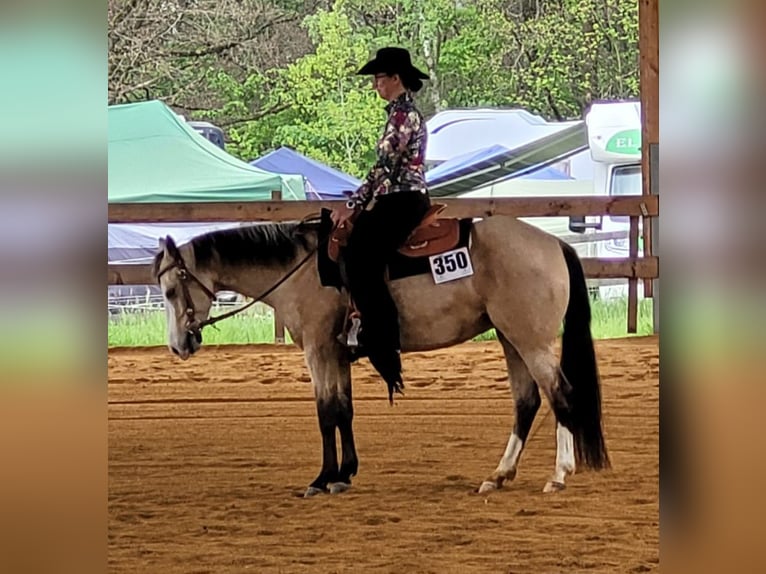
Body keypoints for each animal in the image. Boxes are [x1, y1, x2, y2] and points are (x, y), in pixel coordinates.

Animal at [153, 207, 608, 500]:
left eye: (172, 290)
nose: (178, 345)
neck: (302, 269)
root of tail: (554, 244)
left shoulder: (319, 350)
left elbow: (326, 413)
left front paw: (321, 479)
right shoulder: (338, 354)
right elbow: (344, 409)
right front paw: (344, 475)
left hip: (530, 339)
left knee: (561, 394)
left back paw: (558, 474)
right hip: (510, 338)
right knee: (527, 401)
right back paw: (498, 475)